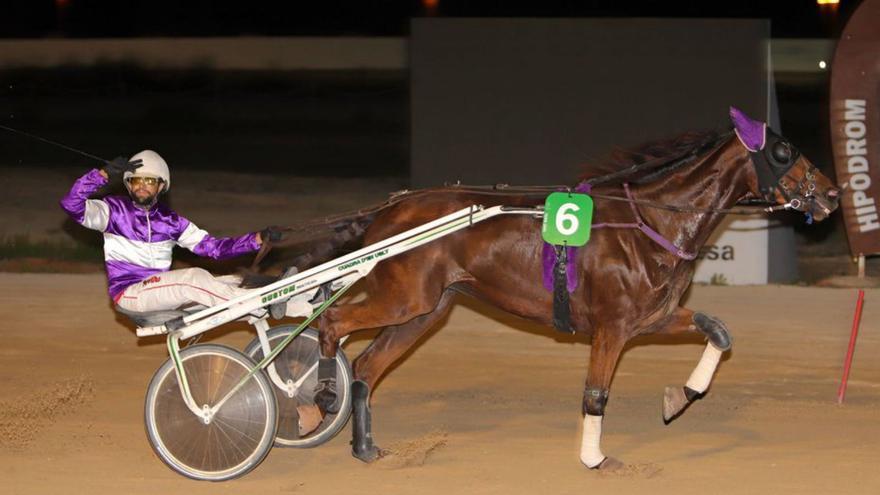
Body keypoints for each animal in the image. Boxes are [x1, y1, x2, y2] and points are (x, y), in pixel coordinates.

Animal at [298, 107, 840, 468]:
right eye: (784, 151)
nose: (834, 194)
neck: (651, 221)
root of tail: (389, 210)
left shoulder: (654, 316)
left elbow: (719, 331)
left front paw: (680, 396)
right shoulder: (612, 327)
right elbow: (596, 394)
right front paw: (596, 458)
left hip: (425, 310)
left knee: (367, 366)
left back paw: (364, 447)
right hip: (404, 298)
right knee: (332, 322)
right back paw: (316, 400)